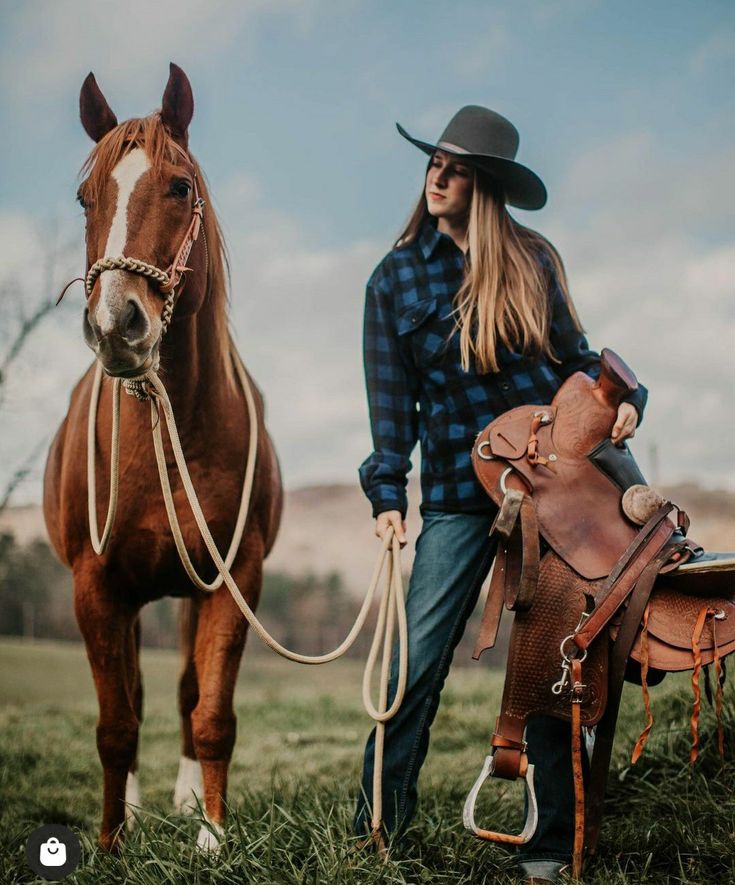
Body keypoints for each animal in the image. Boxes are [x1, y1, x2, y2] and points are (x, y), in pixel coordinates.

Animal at [43, 62, 284, 848]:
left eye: (179, 187)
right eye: (86, 197)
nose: (117, 324)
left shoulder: (233, 578)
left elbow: (209, 714)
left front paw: (212, 834)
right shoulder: (96, 587)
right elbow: (117, 724)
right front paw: (112, 841)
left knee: (180, 695)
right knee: (138, 695)